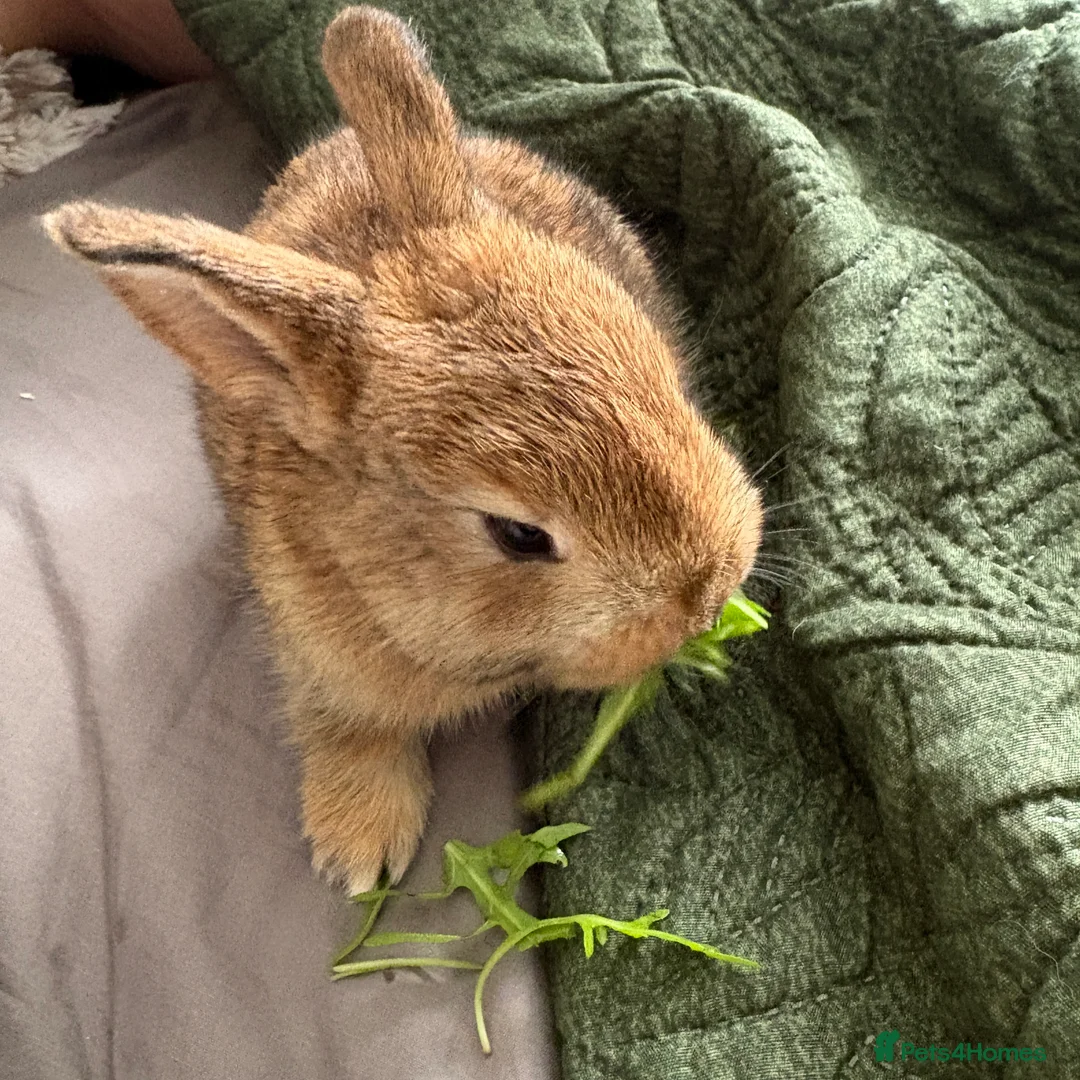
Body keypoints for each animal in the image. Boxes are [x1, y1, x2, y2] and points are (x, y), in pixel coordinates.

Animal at [42, 6, 764, 895]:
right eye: (519, 535)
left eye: (669, 382)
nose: (708, 593)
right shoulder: (318, 657)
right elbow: (343, 724)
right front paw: (358, 852)